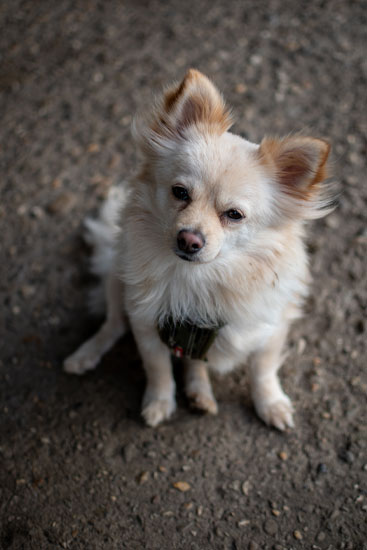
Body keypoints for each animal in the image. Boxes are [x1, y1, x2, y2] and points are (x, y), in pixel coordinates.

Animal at [63, 69, 334, 432]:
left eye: (234, 215)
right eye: (180, 192)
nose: (189, 239)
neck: (202, 280)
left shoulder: (271, 329)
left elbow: (262, 371)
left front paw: (271, 403)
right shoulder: (147, 324)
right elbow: (158, 370)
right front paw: (159, 402)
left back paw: (200, 393)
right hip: (115, 280)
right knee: (113, 325)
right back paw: (86, 354)